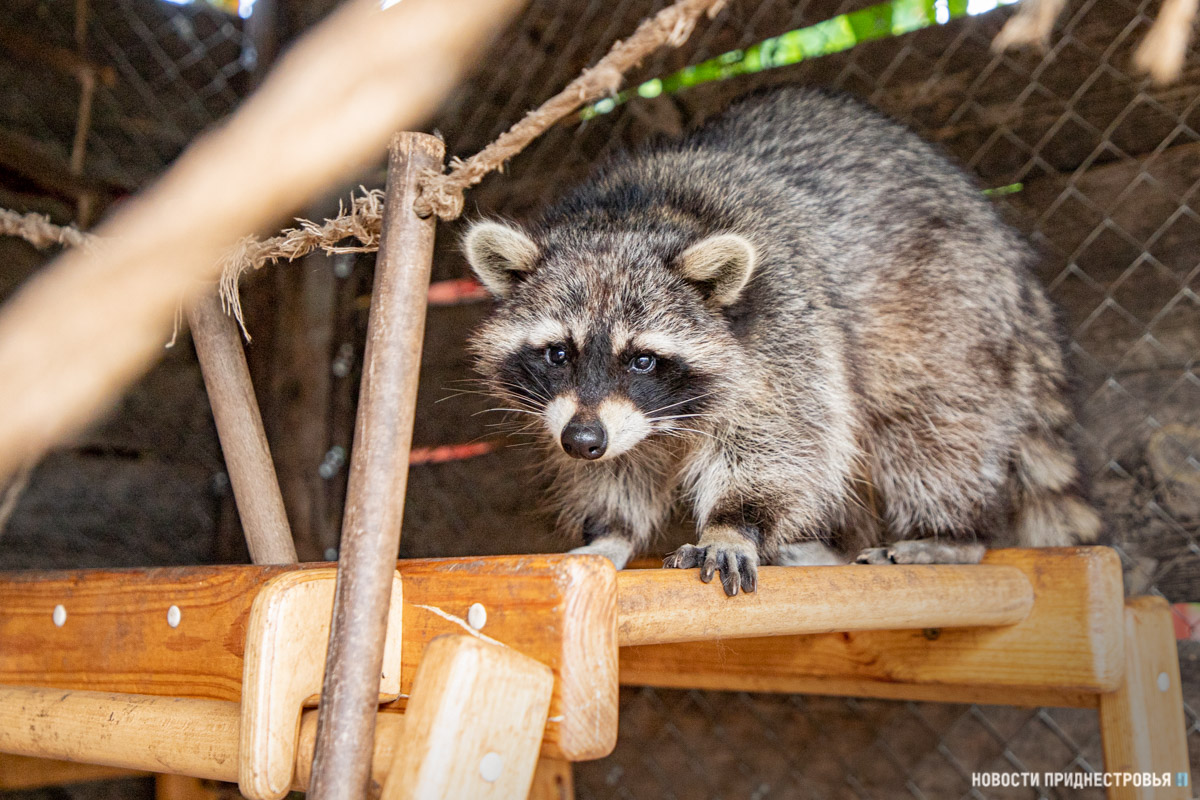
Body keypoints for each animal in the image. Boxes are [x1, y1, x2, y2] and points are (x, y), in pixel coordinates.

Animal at [463, 86, 1099, 594]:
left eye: (642, 360)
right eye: (558, 353)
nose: (582, 441)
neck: (632, 215)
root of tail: (1004, 247)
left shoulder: (784, 325)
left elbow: (783, 441)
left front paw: (733, 526)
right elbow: (622, 467)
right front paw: (610, 531)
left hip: (948, 306)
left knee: (931, 422)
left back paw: (949, 531)